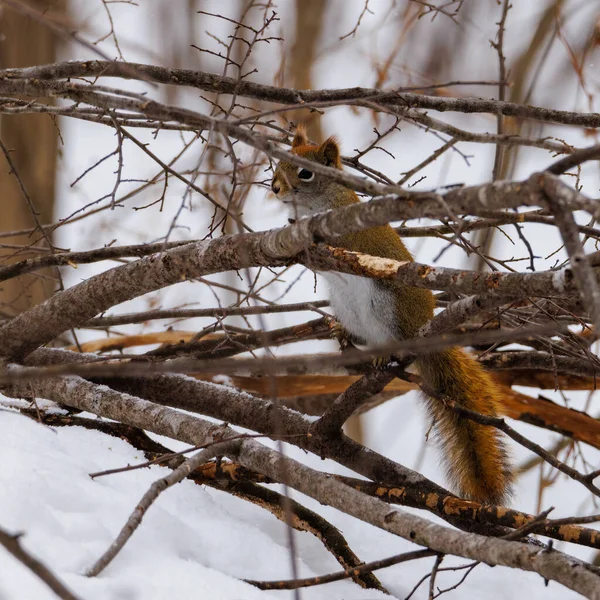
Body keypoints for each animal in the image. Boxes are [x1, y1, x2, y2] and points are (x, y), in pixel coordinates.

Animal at [270, 127, 510, 506]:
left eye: (306, 173)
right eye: (279, 163)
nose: (275, 188)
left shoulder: (352, 231)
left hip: (387, 307)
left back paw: (386, 355)